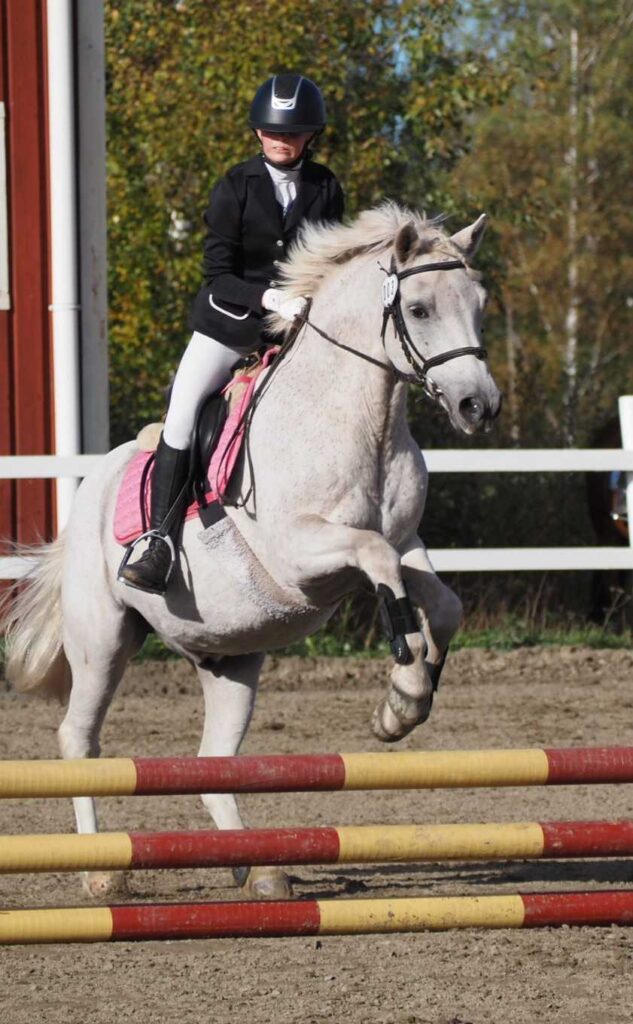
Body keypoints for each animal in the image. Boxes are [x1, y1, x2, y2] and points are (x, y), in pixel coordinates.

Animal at [3, 203, 501, 900]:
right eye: (420, 308)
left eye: (480, 305)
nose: (479, 405)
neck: (361, 420)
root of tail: (87, 494)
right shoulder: (302, 555)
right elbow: (374, 557)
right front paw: (405, 687)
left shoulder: (409, 545)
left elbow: (441, 600)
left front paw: (403, 706)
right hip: (102, 638)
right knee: (80, 740)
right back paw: (102, 871)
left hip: (231, 660)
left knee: (212, 764)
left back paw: (256, 867)